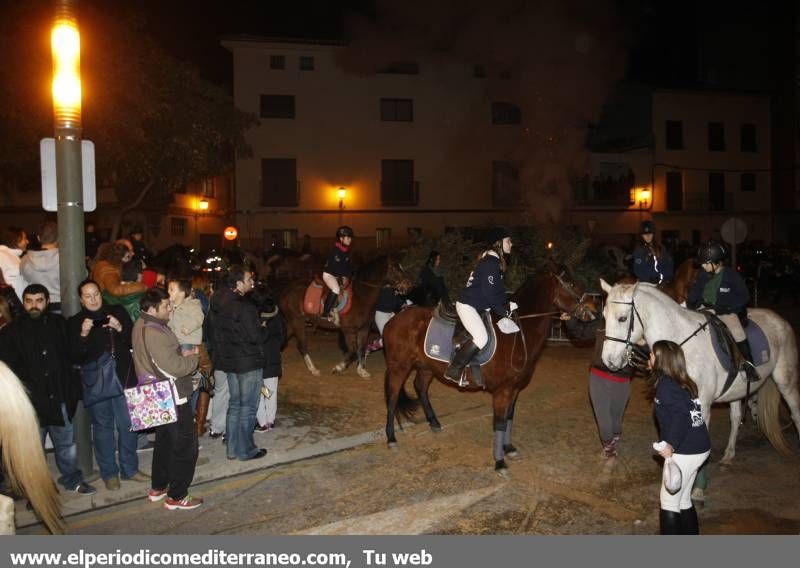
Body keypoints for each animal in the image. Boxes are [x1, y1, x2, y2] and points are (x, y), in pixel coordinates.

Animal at [278, 256, 410, 378]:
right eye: (395, 269)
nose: (408, 285)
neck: (361, 295)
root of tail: (286, 290)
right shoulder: (348, 330)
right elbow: (352, 351)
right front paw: (338, 368)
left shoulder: (364, 329)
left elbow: (361, 348)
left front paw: (362, 371)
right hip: (297, 322)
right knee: (302, 346)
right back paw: (313, 369)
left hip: (292, 323)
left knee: (283, 340)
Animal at [384, 270, 596, 474]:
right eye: (571, 284)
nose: (594, 310)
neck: (518, 334)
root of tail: (394, 319)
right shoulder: (503, 391)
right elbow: (500, 423)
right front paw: (499, 462)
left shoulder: (514, 389)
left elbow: (509, 418)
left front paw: (508, 448)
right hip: (399, 366)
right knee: (393, 397)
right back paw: (391, 437)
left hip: (427, 366)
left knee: (420, 387)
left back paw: (434, 422)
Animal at [600, 280, 800, 496]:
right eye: (604, 317)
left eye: (622, 318)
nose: (608, 361)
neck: (679, 345)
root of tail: (780, 319)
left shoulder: (701, 406)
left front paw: (697, 489)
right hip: (738, 390)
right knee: (736, 417)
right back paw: (729, 455)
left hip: (786, 382)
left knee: (795, 412)